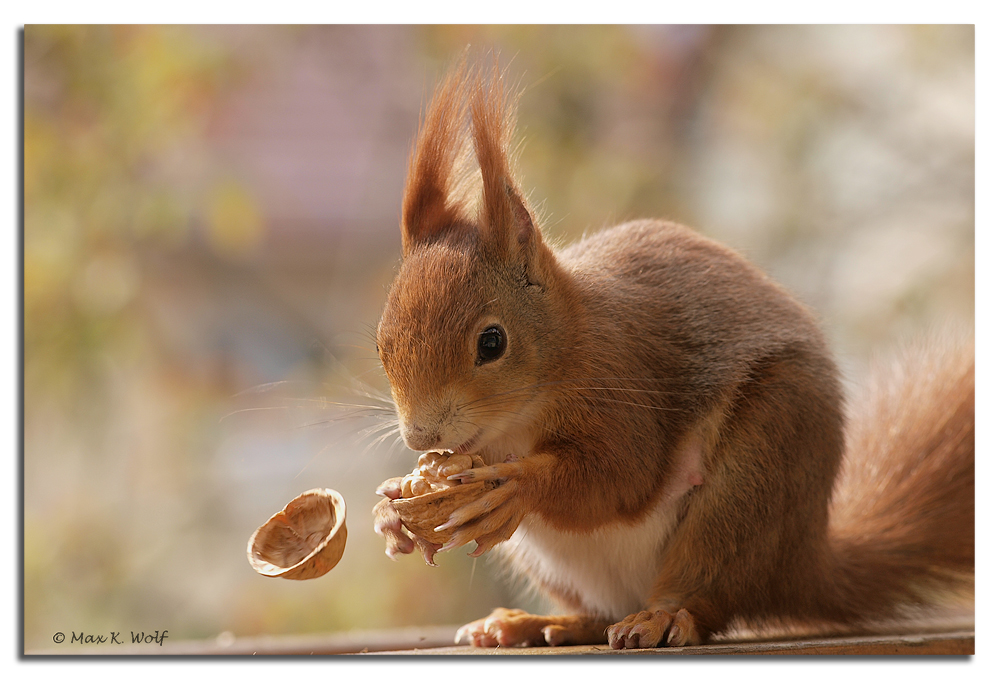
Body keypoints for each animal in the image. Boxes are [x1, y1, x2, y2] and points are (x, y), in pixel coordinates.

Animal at [372, 59, 972, 648]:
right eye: (382, 344)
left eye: (492, 342)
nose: (420, 437)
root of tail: (801, 562)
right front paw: (393, 505)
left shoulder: (623, 383)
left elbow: (619, 475)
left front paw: (516, 485)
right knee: (600, 612)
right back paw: (535, 623)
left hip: (757, 474)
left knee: (704, 592)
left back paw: (663, 616)